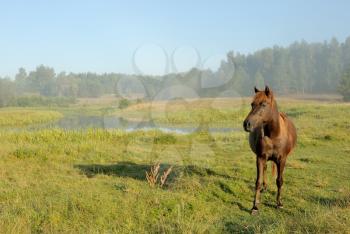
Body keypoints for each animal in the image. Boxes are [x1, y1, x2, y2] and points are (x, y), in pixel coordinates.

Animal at [243, 85, 296, 214]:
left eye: (263, 104)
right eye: (252, 104)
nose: (247, 124)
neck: (274, 135)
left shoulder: (282, 159)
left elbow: (279, 181)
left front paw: (279, 203)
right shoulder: (260, 158)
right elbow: (257, 181)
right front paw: (255, 207)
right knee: (265, 170)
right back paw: (265, 187)